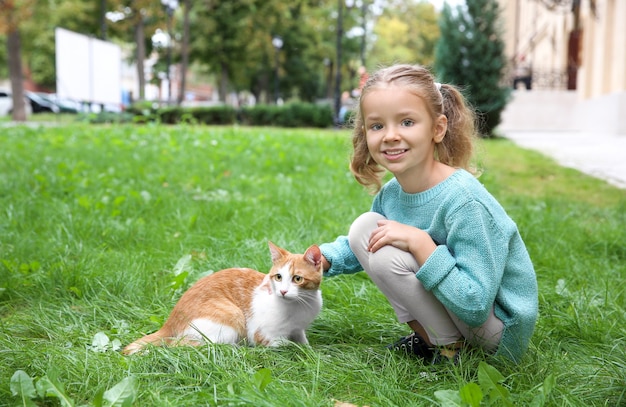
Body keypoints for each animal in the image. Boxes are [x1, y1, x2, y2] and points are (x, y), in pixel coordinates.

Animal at [124, 241, 324, 356]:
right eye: (278, 277)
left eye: (297, 279)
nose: (282, 291)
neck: (299, 306)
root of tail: (170, 322)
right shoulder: (262, 335)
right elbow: (286, 345)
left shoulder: (298, 328)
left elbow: (302, 341)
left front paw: (310, 349)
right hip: (232, 315)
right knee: (181, 345)